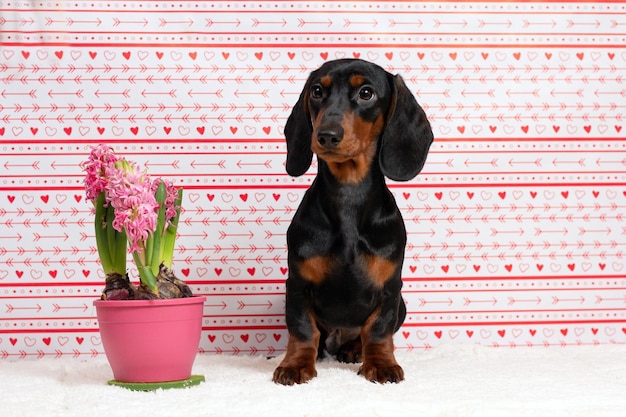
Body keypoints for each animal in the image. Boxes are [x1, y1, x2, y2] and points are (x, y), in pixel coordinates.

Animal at [272, 58, 434, 384]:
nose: (326, 135)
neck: (349, 194)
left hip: (402, 306)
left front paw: (381, 363)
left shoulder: (390, 290)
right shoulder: (296, 285)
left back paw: (353, 350)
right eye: (317, 91)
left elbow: (378, 330)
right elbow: (303, 330)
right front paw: (295, 364)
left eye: (366, 93)